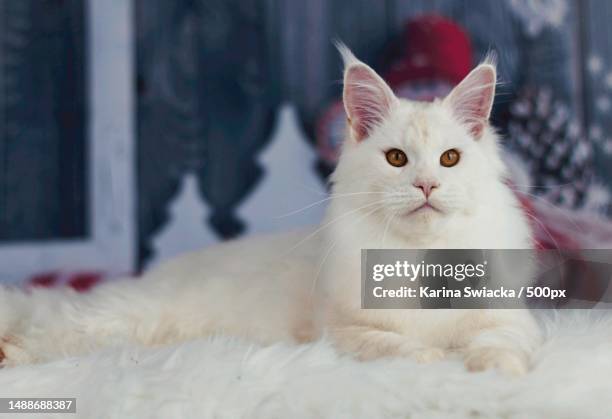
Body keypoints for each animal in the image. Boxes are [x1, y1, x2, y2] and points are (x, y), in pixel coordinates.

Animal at [0, 46, 540, 378]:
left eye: (449, 159)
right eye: (396, 159)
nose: (426, 185)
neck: (424, 258)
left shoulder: (508, 318)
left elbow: (500, 343)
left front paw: (494, 372)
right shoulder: (342, 332)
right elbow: (397, 346)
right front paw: (430, 359)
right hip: (123, 317)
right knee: (55, 326)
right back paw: (13, 355)